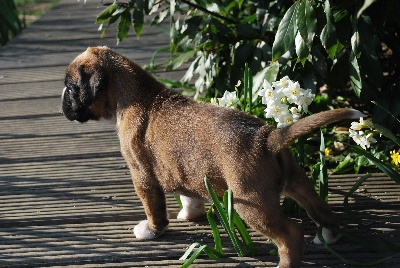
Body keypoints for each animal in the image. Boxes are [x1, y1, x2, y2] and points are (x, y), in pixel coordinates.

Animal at [61, 46, 362, 268]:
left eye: (72, 87)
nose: (63, 99)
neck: (136, 93)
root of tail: (266, 137)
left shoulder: (142, 176)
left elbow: (153, 207)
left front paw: (152, 230)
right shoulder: (183, 169)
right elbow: (189, 194)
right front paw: (190, 213)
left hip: (252, 206)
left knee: (291, 235)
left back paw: (287, 262)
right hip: (298, 183)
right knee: (321, 209)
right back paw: (329, 236)